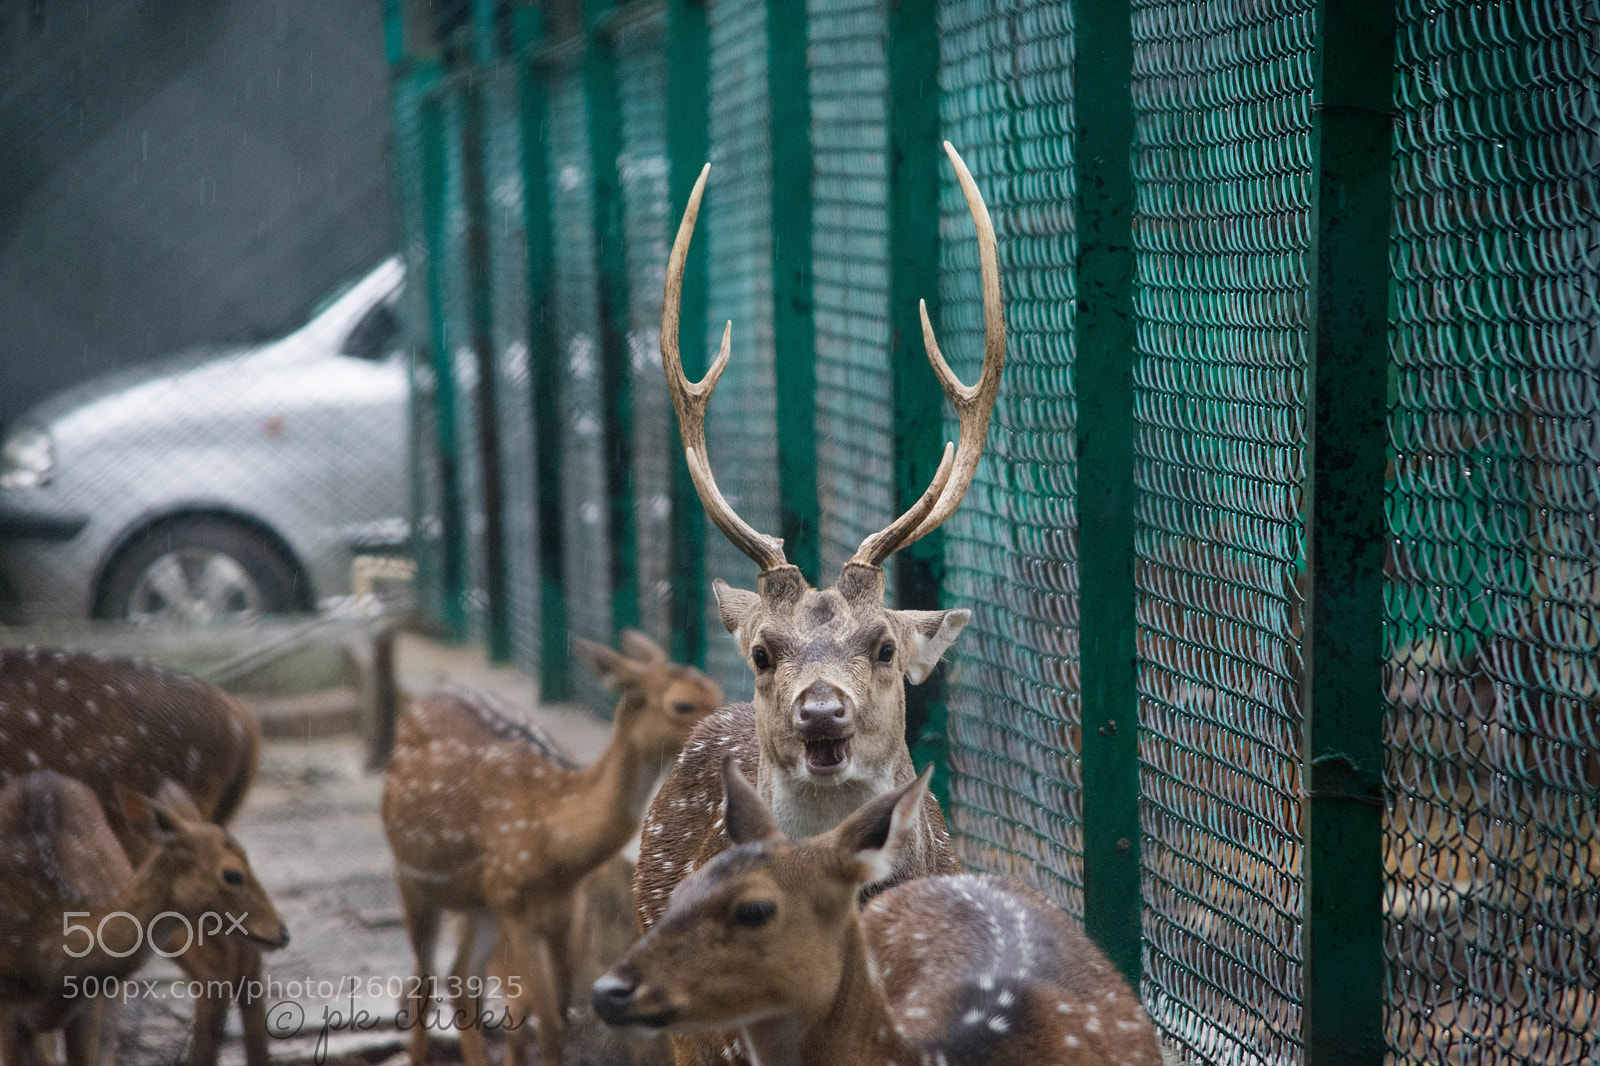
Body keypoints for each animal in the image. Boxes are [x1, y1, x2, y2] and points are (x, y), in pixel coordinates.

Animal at [381, 629, 723, 1066]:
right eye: (681, 704)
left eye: (713, 686)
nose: (724, 724)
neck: (553, 840)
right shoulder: (516, 906)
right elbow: (548, 1025)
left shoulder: (567, 912)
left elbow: (561, 1017)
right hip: (412, 878)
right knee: (424, 983)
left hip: (479, 903)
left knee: (460, 979)